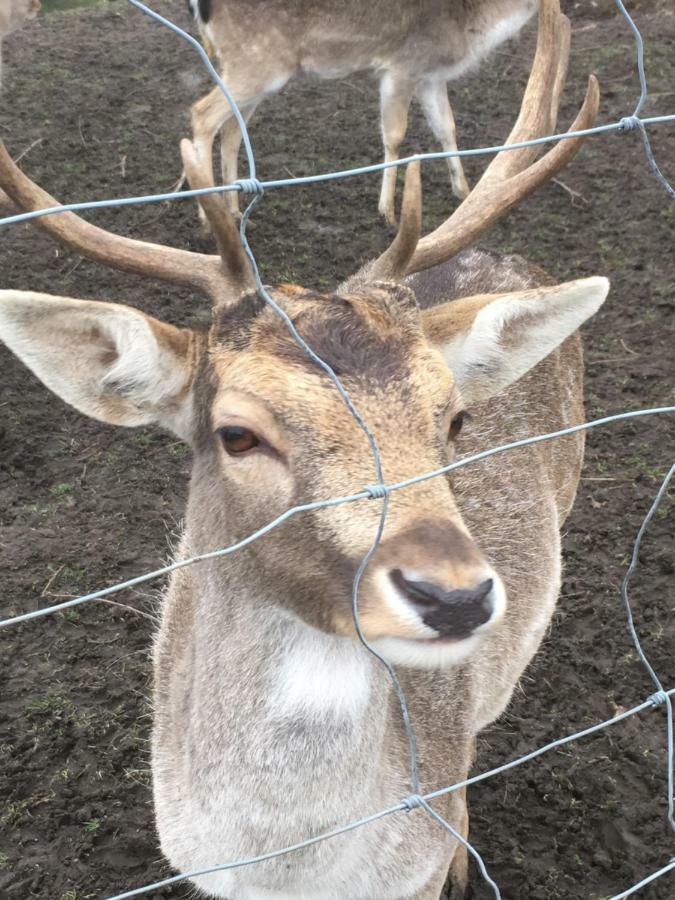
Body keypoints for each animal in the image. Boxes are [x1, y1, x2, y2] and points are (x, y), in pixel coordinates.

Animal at [186, 0, 540, 229]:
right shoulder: (402, 67)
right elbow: (395, 135)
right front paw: (387, 212)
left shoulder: (430, 75)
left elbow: (446, 127)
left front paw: (465, 192)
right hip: (256, 63)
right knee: (202, 114)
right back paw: (206, 215)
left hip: (254, 69)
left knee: (231, 131)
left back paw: (233, 210)